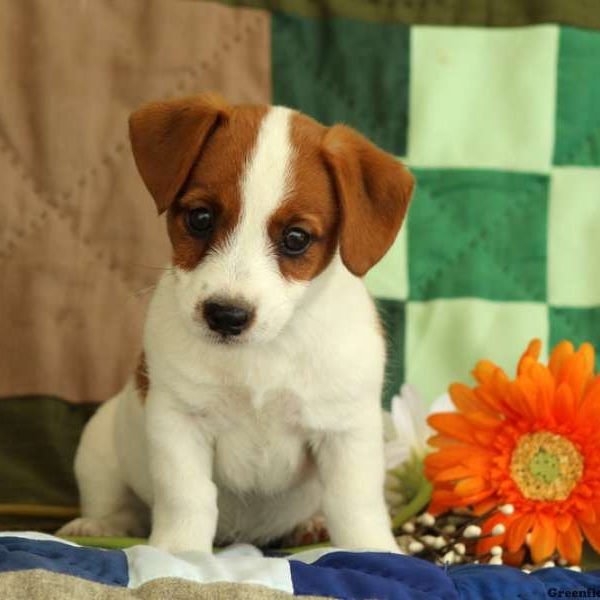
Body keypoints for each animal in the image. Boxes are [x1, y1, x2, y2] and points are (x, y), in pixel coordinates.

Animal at [57, 92, 412, 552]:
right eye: (200, 218)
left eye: (295, 239)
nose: (226, 316)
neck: (264, 354)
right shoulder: (179, 423)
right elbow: (187, 497)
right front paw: (178, 552)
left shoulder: (346, 431)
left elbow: (355, 506)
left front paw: (375, 551)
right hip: (99, 445)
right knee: (117, 505)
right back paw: (98, 526)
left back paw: (310, 524)